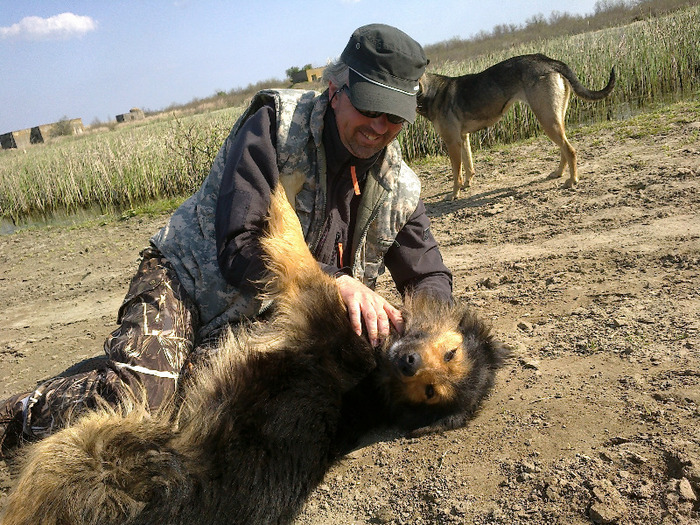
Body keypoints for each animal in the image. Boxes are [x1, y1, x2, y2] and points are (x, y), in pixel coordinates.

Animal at [0, 188, 508, 524]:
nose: (407, 364)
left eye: (431, 391)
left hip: (97, 439)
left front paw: (279, 184)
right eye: (449, 353)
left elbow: (293, 238)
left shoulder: (312, 292)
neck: (373, 377)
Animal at [416, 53, 612, 199]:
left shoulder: (452, 142)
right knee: (564, 148)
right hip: (555, 117)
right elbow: (468, 165)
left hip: (547, 119)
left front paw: (454, 194)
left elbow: (456, 172)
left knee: (570, 150)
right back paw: (558, 173)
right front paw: (467, 184)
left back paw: (572, 181)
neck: (429, 92)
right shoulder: (463, 138)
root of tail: (548, 60)